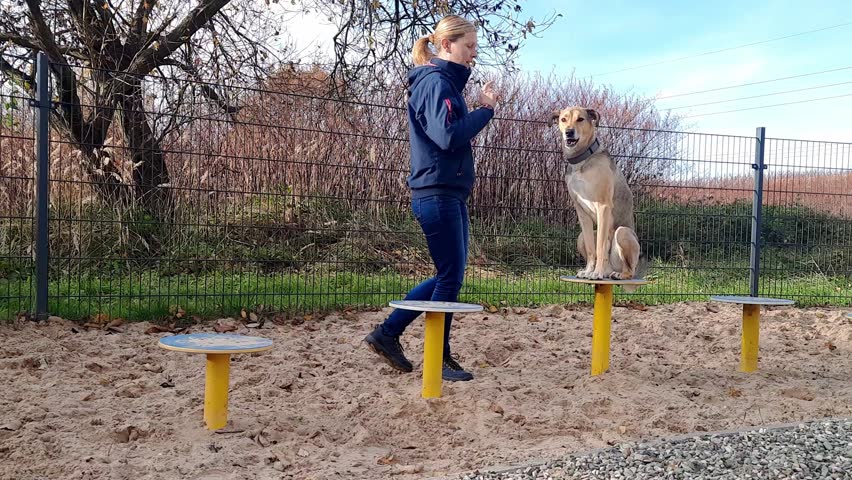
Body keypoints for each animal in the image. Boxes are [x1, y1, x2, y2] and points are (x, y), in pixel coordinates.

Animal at [552, 106, 640, 280]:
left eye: (580, 119)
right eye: (563, 119)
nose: (569, 132)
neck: (581, 160)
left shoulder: (603, 207)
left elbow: (600, 245)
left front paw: (596, 272)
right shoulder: (581, 212)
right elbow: (592, 248)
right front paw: (588, 271)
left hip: (623, 232)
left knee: (630, 270)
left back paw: (616, 274)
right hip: (580, 237)